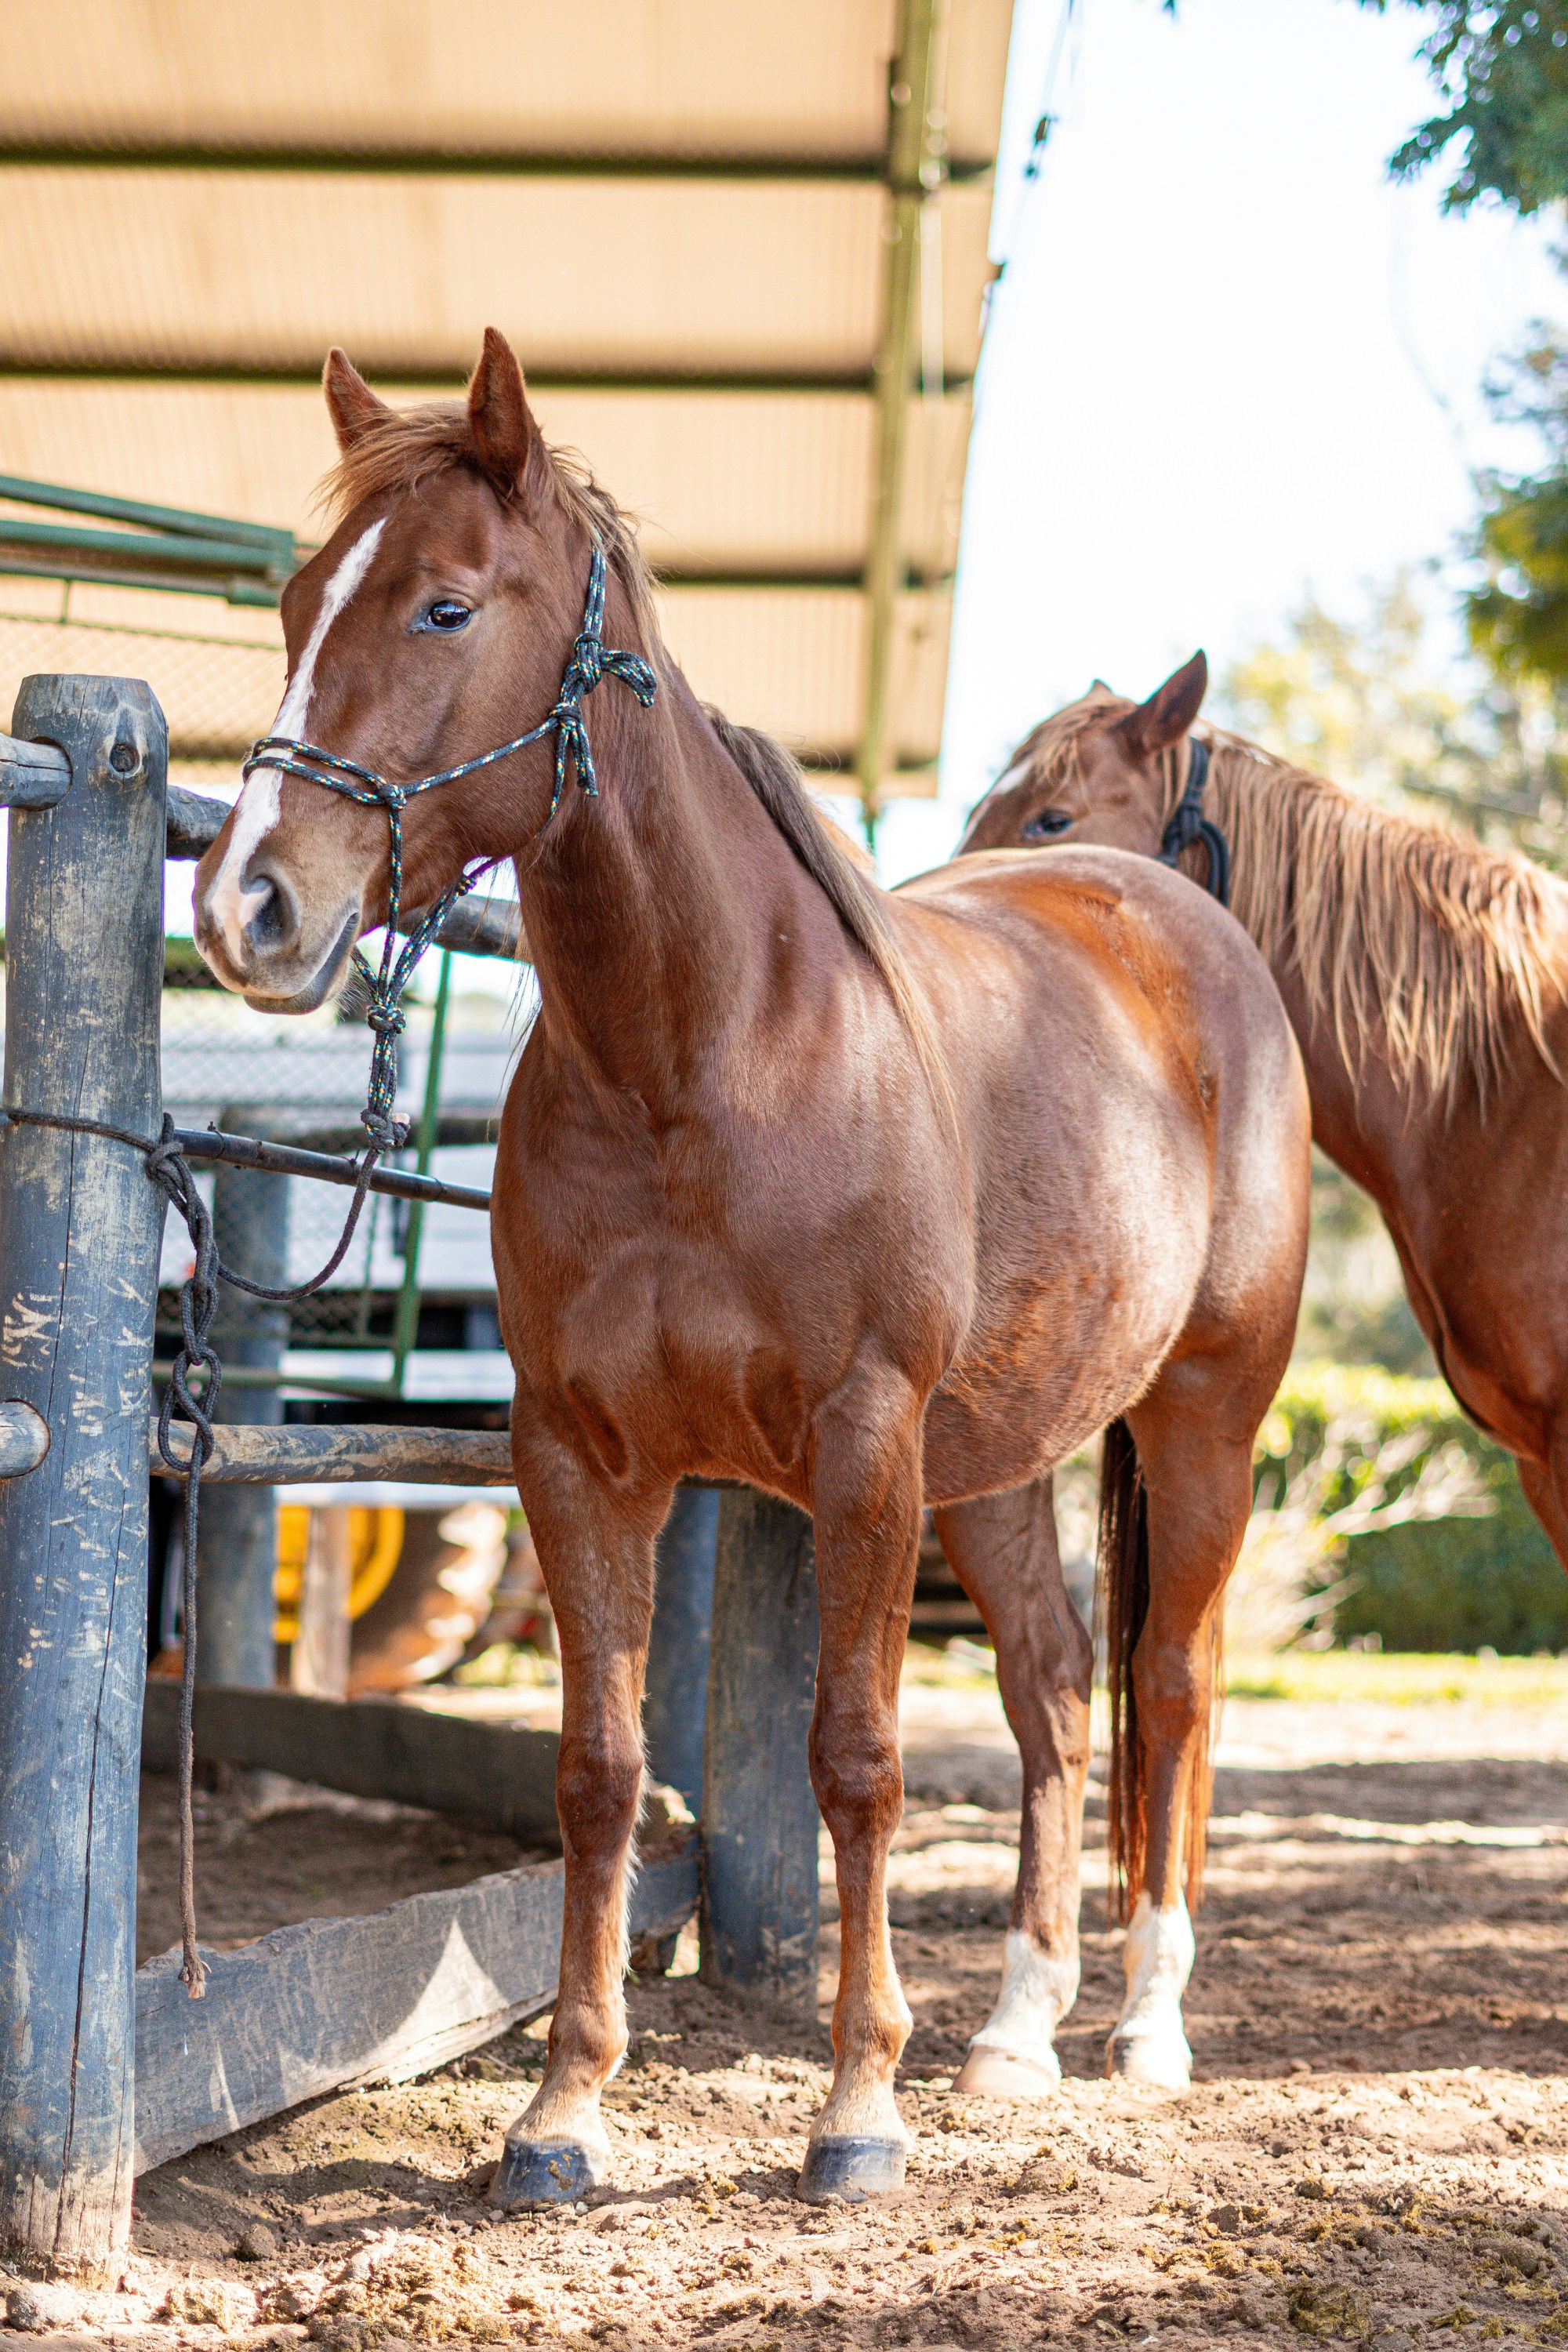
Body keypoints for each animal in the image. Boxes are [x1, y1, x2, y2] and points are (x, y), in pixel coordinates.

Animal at [191, 332, 1310, 2205]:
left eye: (442, 607)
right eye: (293, 601)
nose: (246, 907)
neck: (704, 1062)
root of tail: (1176, 921)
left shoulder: (861, 1450)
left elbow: (852, 1763)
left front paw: (855, 2107)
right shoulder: (579, 1457)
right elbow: (601, 1773)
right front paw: (561, 2116)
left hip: (1197, 1425)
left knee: (1172, 1683)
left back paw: (1146, 2027)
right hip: (995, 1464)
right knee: (1053, 1688)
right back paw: (1016, 2035)